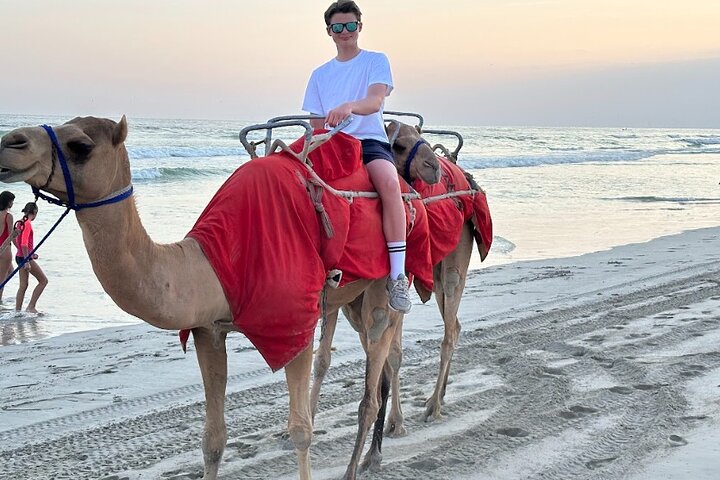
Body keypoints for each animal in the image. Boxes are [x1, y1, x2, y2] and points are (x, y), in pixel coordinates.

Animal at [0, 116, 441, 480]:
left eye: (80, 145)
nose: (9, 142)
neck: (214, 260)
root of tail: (408, 192)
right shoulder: (208, 330)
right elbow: (213, 439)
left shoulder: (293, 325)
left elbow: (301, 430)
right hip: (349, 297)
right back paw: (376, 451)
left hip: (384, 285)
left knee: (374, 379)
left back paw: (365, 460)